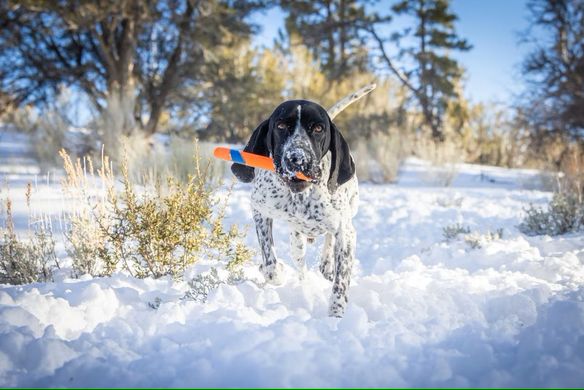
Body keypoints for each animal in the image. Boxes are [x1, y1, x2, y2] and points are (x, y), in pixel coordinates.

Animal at [230, 98, 358, 316]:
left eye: (318, 128)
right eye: (281, 126)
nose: (298, 158)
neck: (300, 197)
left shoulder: (346, 233)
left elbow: (340, 283)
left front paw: (336, 316)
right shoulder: (259, 210)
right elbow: (270, 264)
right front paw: (275, 271)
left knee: (330, 239)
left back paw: (326, 266)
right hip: (297, 242)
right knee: (301, 267)